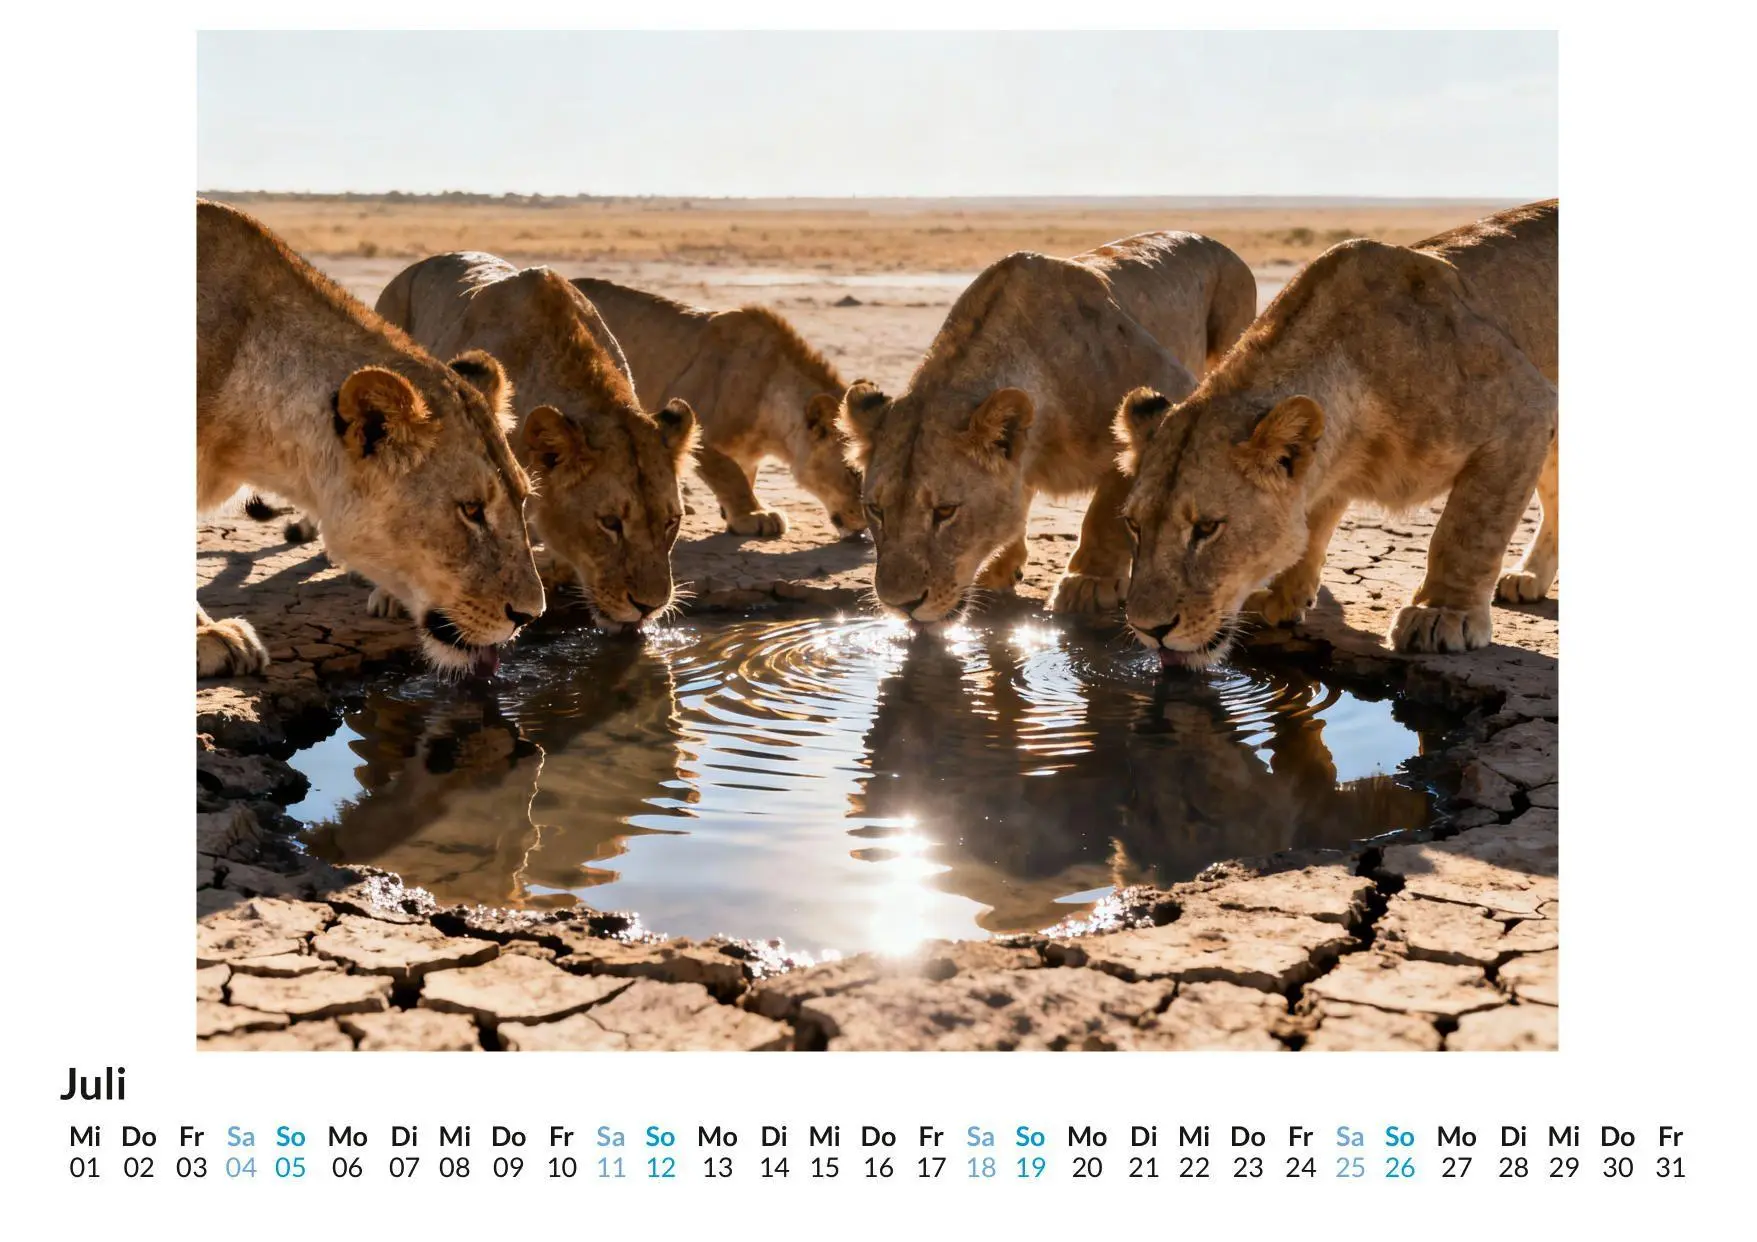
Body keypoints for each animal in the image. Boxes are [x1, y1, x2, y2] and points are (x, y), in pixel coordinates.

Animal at [572, 278, 866, 539]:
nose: (866, 528)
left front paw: (736, 516)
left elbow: (745, 475)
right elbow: (730, 473)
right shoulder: (692, 423)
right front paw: (755, 516)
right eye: (853, 473)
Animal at [837, 232, 1256, 624]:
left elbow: (1108, 504)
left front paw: (1089, 583)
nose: (900, 605)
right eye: (875, 509)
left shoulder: (1170, 388)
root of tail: (1216, 243)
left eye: (945, 511)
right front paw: (999, 568)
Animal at [1116, 200, 1558, 667]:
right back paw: (1529, 576)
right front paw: (1284, 597)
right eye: (1133, 524)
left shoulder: (1526, 409)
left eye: (1207, 528)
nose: (1149, 630)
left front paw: (1441, 613)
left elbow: (1467, 530)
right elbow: (1314, 523)